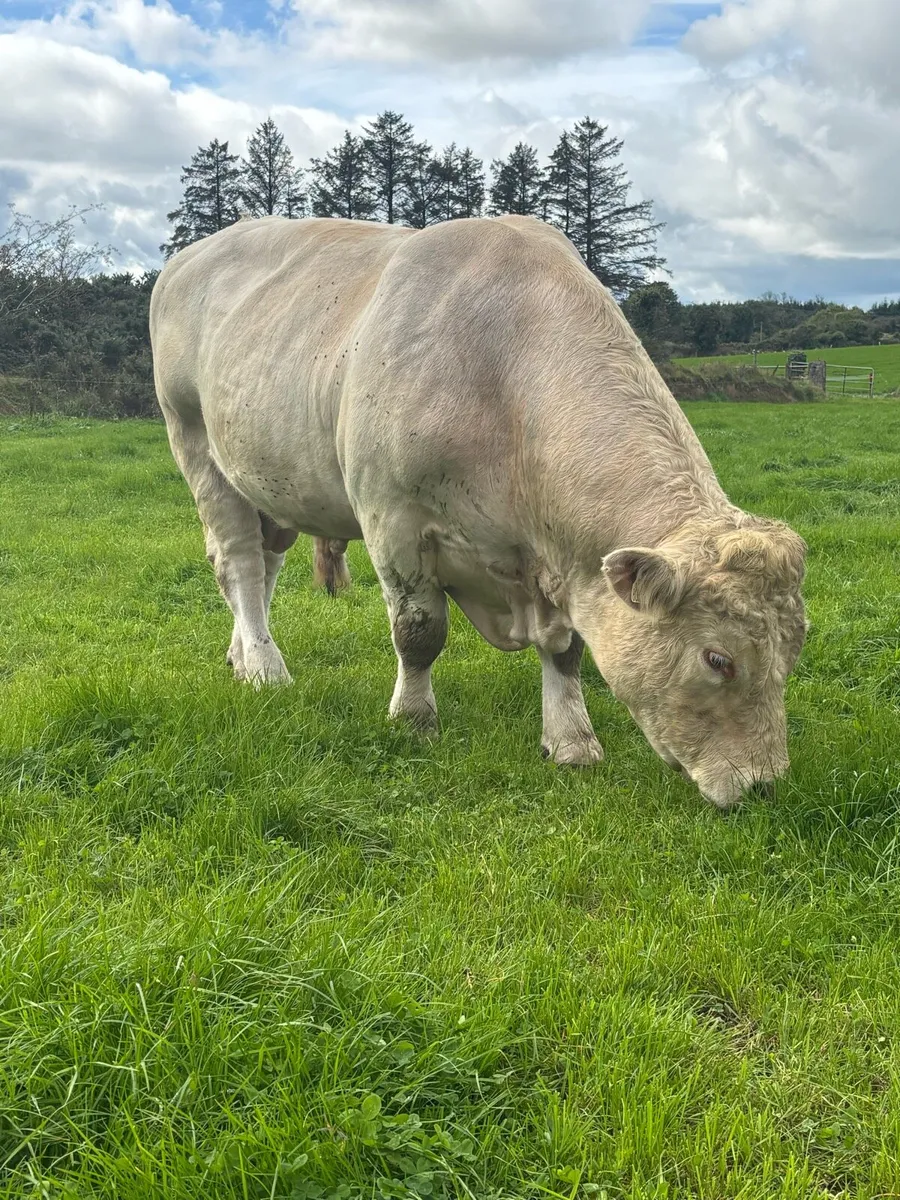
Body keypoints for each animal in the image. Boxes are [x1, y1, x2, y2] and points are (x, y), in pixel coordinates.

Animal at [149, 215, 807, 809]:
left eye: (794, 649)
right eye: (718, 659)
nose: (763, 785)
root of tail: (193, 254)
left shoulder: (560, 565)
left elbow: (565, 649)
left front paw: (571, 740)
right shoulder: (392, 521)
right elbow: (418, 633)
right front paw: (415, 720)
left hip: (270, 485)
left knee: (263, 568)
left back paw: (242, 655)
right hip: (198, 448)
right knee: (239, 564)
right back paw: (266, 668)